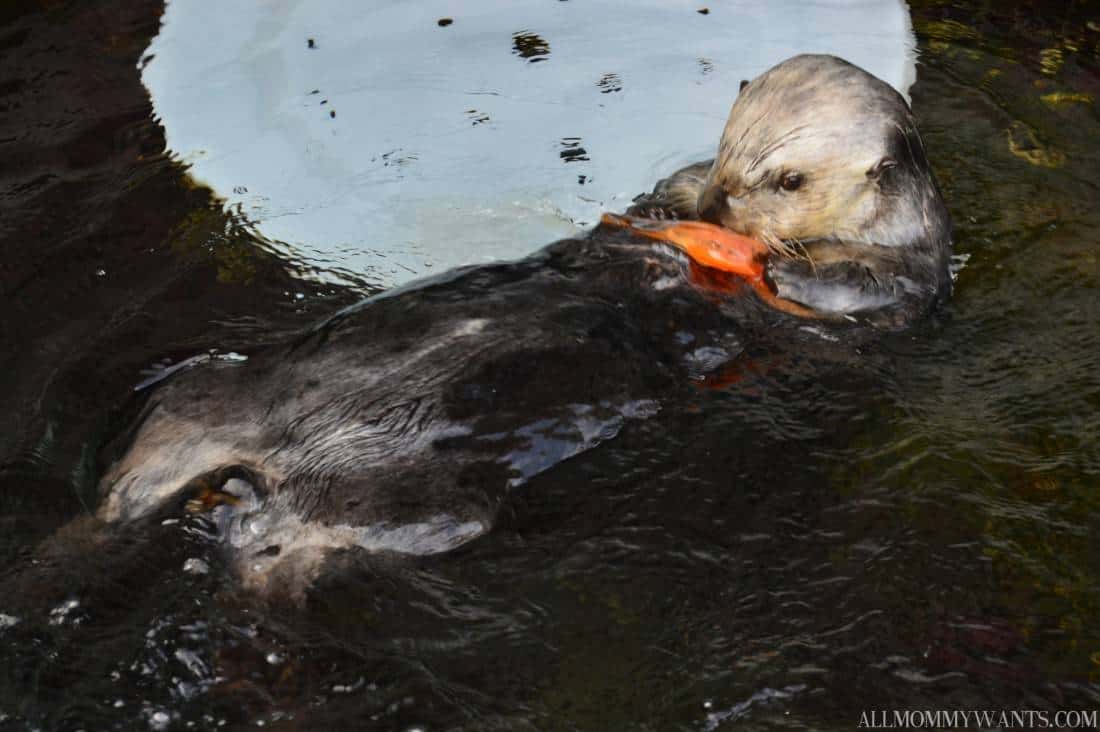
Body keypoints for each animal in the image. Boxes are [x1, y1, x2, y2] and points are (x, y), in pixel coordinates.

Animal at [17, 55, 950, 598]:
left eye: (788, 180)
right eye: (725, 148)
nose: (718, 210)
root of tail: (254, 456)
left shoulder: (914, 280)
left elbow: (867, 289)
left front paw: (777, 266)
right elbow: (662, 196)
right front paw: (662, 213)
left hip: (401, 510)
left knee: (275, 545)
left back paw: (237, 527)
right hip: (199, 397)